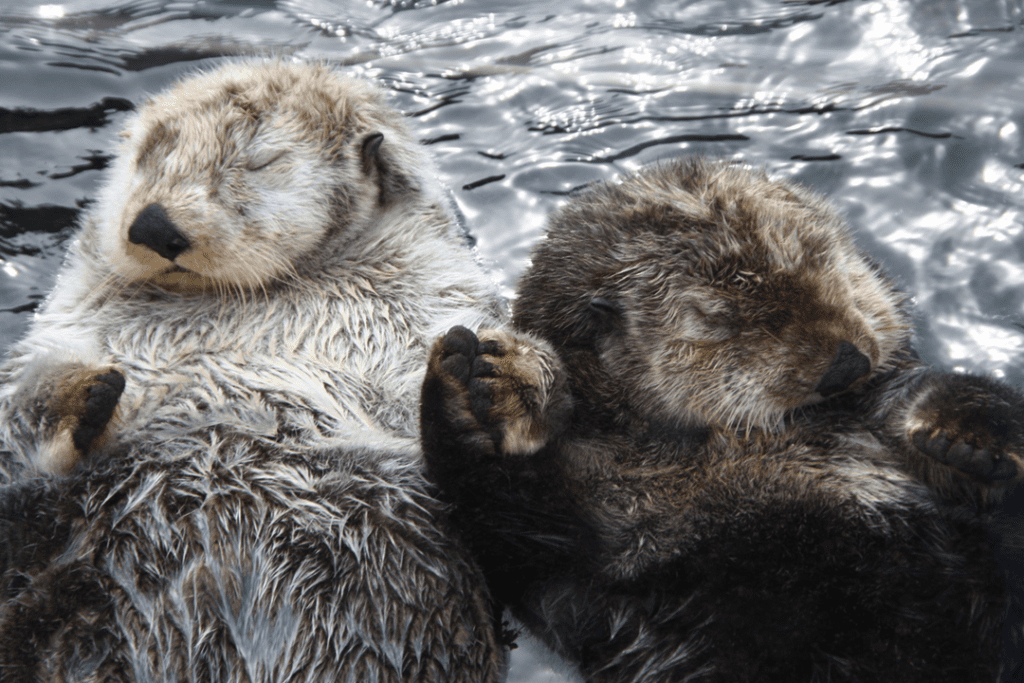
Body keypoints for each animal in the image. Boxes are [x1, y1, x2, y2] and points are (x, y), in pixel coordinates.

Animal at [0, 61, 508, 681]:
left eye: (261, 161)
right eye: (147, 156)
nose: (153, 224)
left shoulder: (441, 300)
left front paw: (462, 391)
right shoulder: (68, 325)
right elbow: (17, 418)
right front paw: (85, 392)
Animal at [420, 158, 1024, 682]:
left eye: (824, 261)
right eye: (720, 319)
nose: (847, 362)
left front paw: (967, 436)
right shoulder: (576, 572)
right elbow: (511, 524)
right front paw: (486, 390)